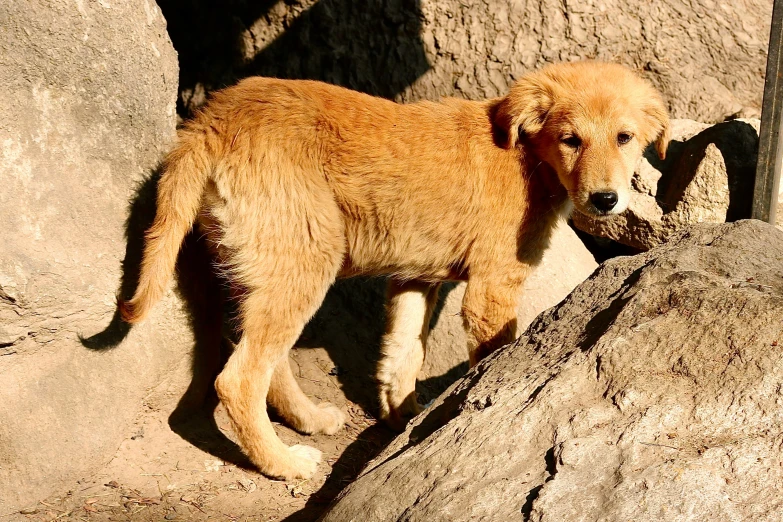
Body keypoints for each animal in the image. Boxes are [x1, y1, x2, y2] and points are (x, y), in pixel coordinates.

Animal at [119, 61, 672, 480]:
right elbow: (490, 362)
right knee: (238, 379)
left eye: (625, 138)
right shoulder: (492, 287)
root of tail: (212, 118)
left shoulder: (415, 279)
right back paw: (283, 464)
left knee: (259, 356)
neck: (527, 157)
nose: (606, 200)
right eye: (571, 139)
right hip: (307, 259)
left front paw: (402, 423)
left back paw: (308, 419)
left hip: (260, 266)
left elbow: (403, 356)